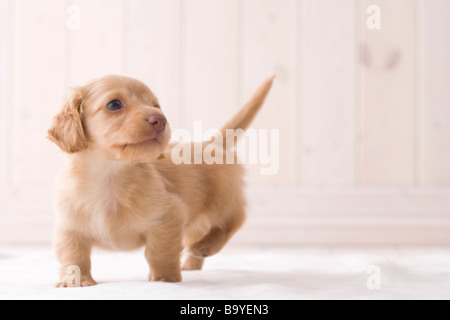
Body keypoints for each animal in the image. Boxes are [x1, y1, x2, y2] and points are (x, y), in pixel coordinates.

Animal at [49, 75, 274, 288]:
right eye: (114, 104)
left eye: (155, 105)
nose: (161, 119)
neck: (110, 176)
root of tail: (211, 143)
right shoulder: (69, 228)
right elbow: (73, 256)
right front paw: (75, 281)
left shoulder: (169, 216)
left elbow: (159, 251)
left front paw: (164, 278)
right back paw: (192, 262)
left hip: (222, 199)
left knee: (234, 219)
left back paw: (205, 247)